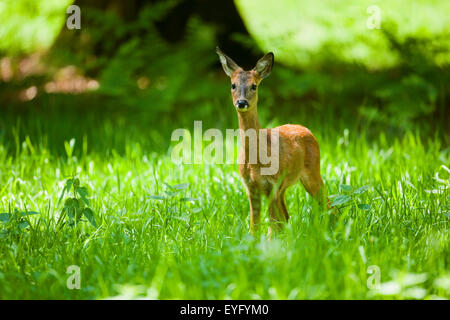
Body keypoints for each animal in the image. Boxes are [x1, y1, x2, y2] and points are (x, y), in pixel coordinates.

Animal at [216, 47, 332, 238]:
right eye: (233, 85)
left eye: (254, 86)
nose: (242, 102)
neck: (255, 162)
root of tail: (307, 129)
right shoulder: (251, 187)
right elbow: (254, 226)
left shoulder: (272, 185)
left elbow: (272, 226)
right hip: (285, 187)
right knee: (287, 216)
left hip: (312, 173)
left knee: (329, 204)